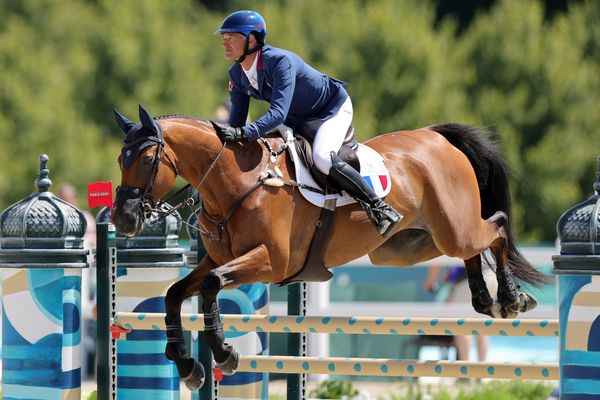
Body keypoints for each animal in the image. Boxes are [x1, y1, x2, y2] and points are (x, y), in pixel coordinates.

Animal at [111, 104, 548, 390]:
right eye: (120, 158)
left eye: (146, 159)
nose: (124, 220)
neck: (237, 182)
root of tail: (436, 137)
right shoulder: (220, 259)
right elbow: (175, 293)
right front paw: (188, 366)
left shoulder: (270, 262)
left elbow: (212, 286)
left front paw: (223, 353)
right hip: (406, 247)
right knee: (470, 247)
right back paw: (484, 300)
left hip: (452, 227)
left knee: (496, 228)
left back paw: (511, 299)